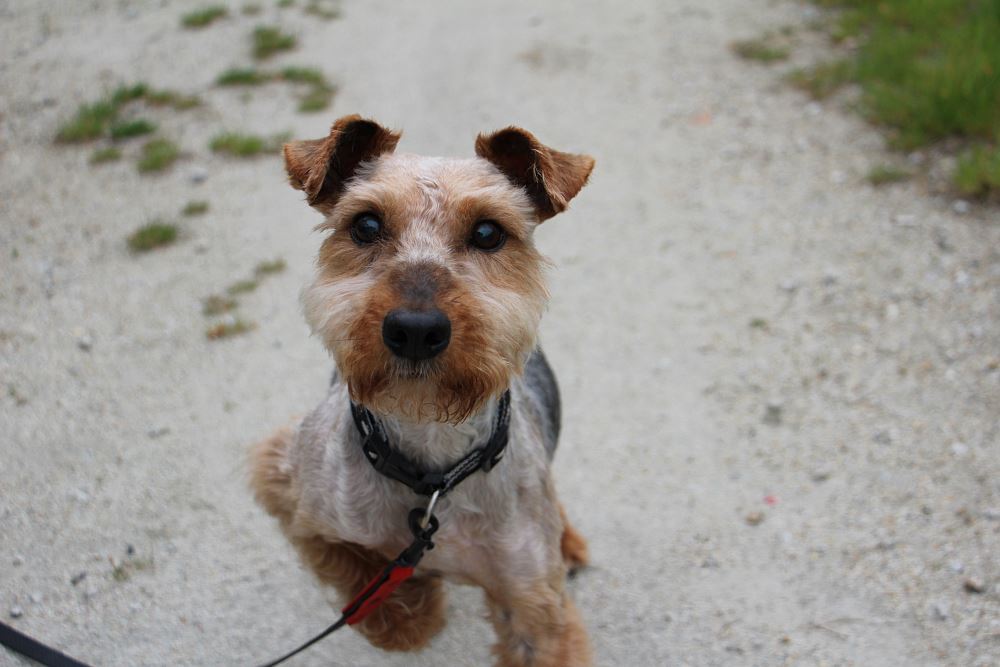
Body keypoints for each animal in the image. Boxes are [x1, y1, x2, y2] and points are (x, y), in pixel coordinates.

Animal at [251, 115, 595, 666]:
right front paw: (412, 615)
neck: (430, 464)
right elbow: (356, 568)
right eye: (366, 225)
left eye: (488, 232)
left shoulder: (536, 608)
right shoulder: (290, 489)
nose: (415, 329)